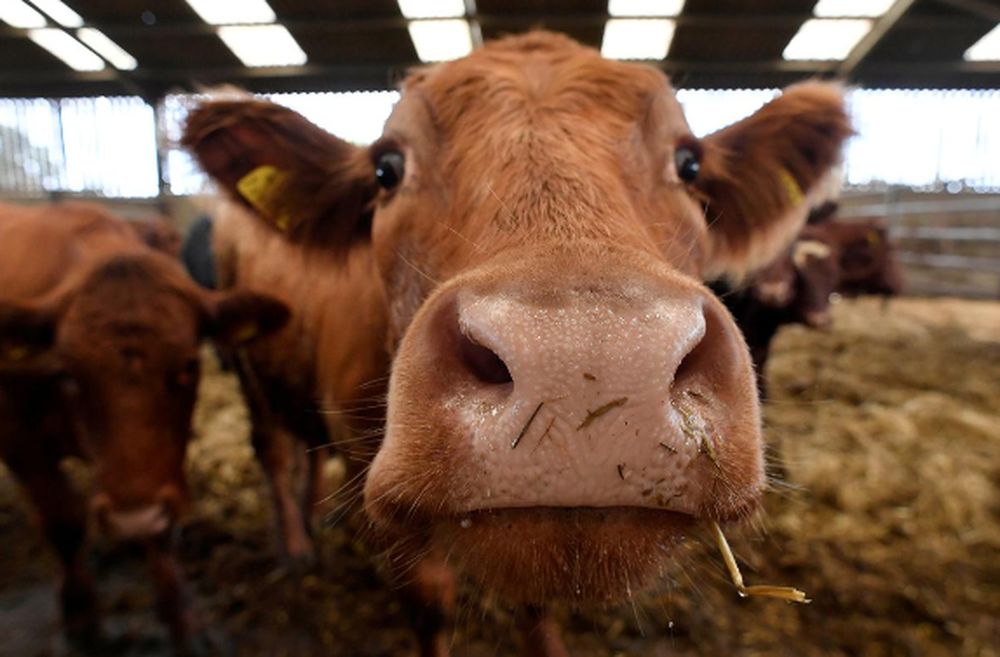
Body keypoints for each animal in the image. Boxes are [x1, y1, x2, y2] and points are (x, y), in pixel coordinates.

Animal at [0, 202, 288, 651]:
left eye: (188, 365)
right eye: (69, 372)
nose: (130, 521)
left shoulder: (159, 472)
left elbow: (160, 531)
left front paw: (182, 618)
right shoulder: (20, 443)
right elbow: (64, 525)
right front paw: (80, 615)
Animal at [182, 32, 851, 656]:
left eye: (688, 163)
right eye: (386, 168)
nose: (590, 355)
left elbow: (538, 608)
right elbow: (430, 603)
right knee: (272, 447)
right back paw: (295, 546)